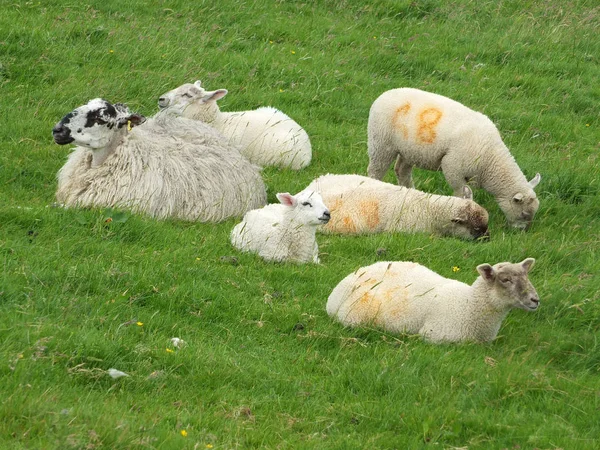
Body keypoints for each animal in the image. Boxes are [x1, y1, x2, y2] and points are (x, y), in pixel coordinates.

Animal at [368, 87, 540, 230]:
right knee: (375, 171)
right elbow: (460, 192)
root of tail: (385, 94)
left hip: (409, 150)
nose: (522, 231)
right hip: (381, 143)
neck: (490, 159)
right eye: (524, 214)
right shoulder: (453, 167)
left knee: (402, 171)